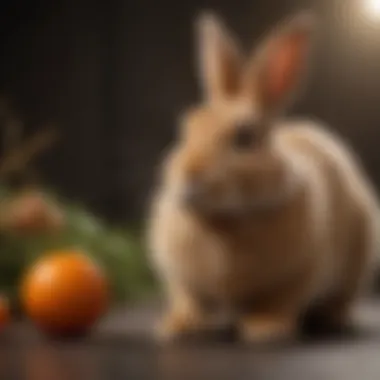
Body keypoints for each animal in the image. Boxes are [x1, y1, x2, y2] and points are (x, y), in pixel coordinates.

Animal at [145, 10, 380, 342]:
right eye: (188, 126)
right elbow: (188, 300)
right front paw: (175, 327)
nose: (189, 175)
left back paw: (333, 319)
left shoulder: (301, 273)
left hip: (357, 262)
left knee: (342, 298)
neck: (226, 221)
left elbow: (281, 301)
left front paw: (264, 330)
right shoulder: (181, 277)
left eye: (244, 138)